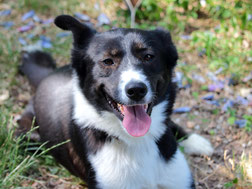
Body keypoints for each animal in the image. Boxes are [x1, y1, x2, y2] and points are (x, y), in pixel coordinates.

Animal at [16, 15, 213, 189]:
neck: (136, 141)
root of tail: (46, 76)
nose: (136, 90)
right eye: (108, 61)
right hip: (27, 135)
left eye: (149, 57)